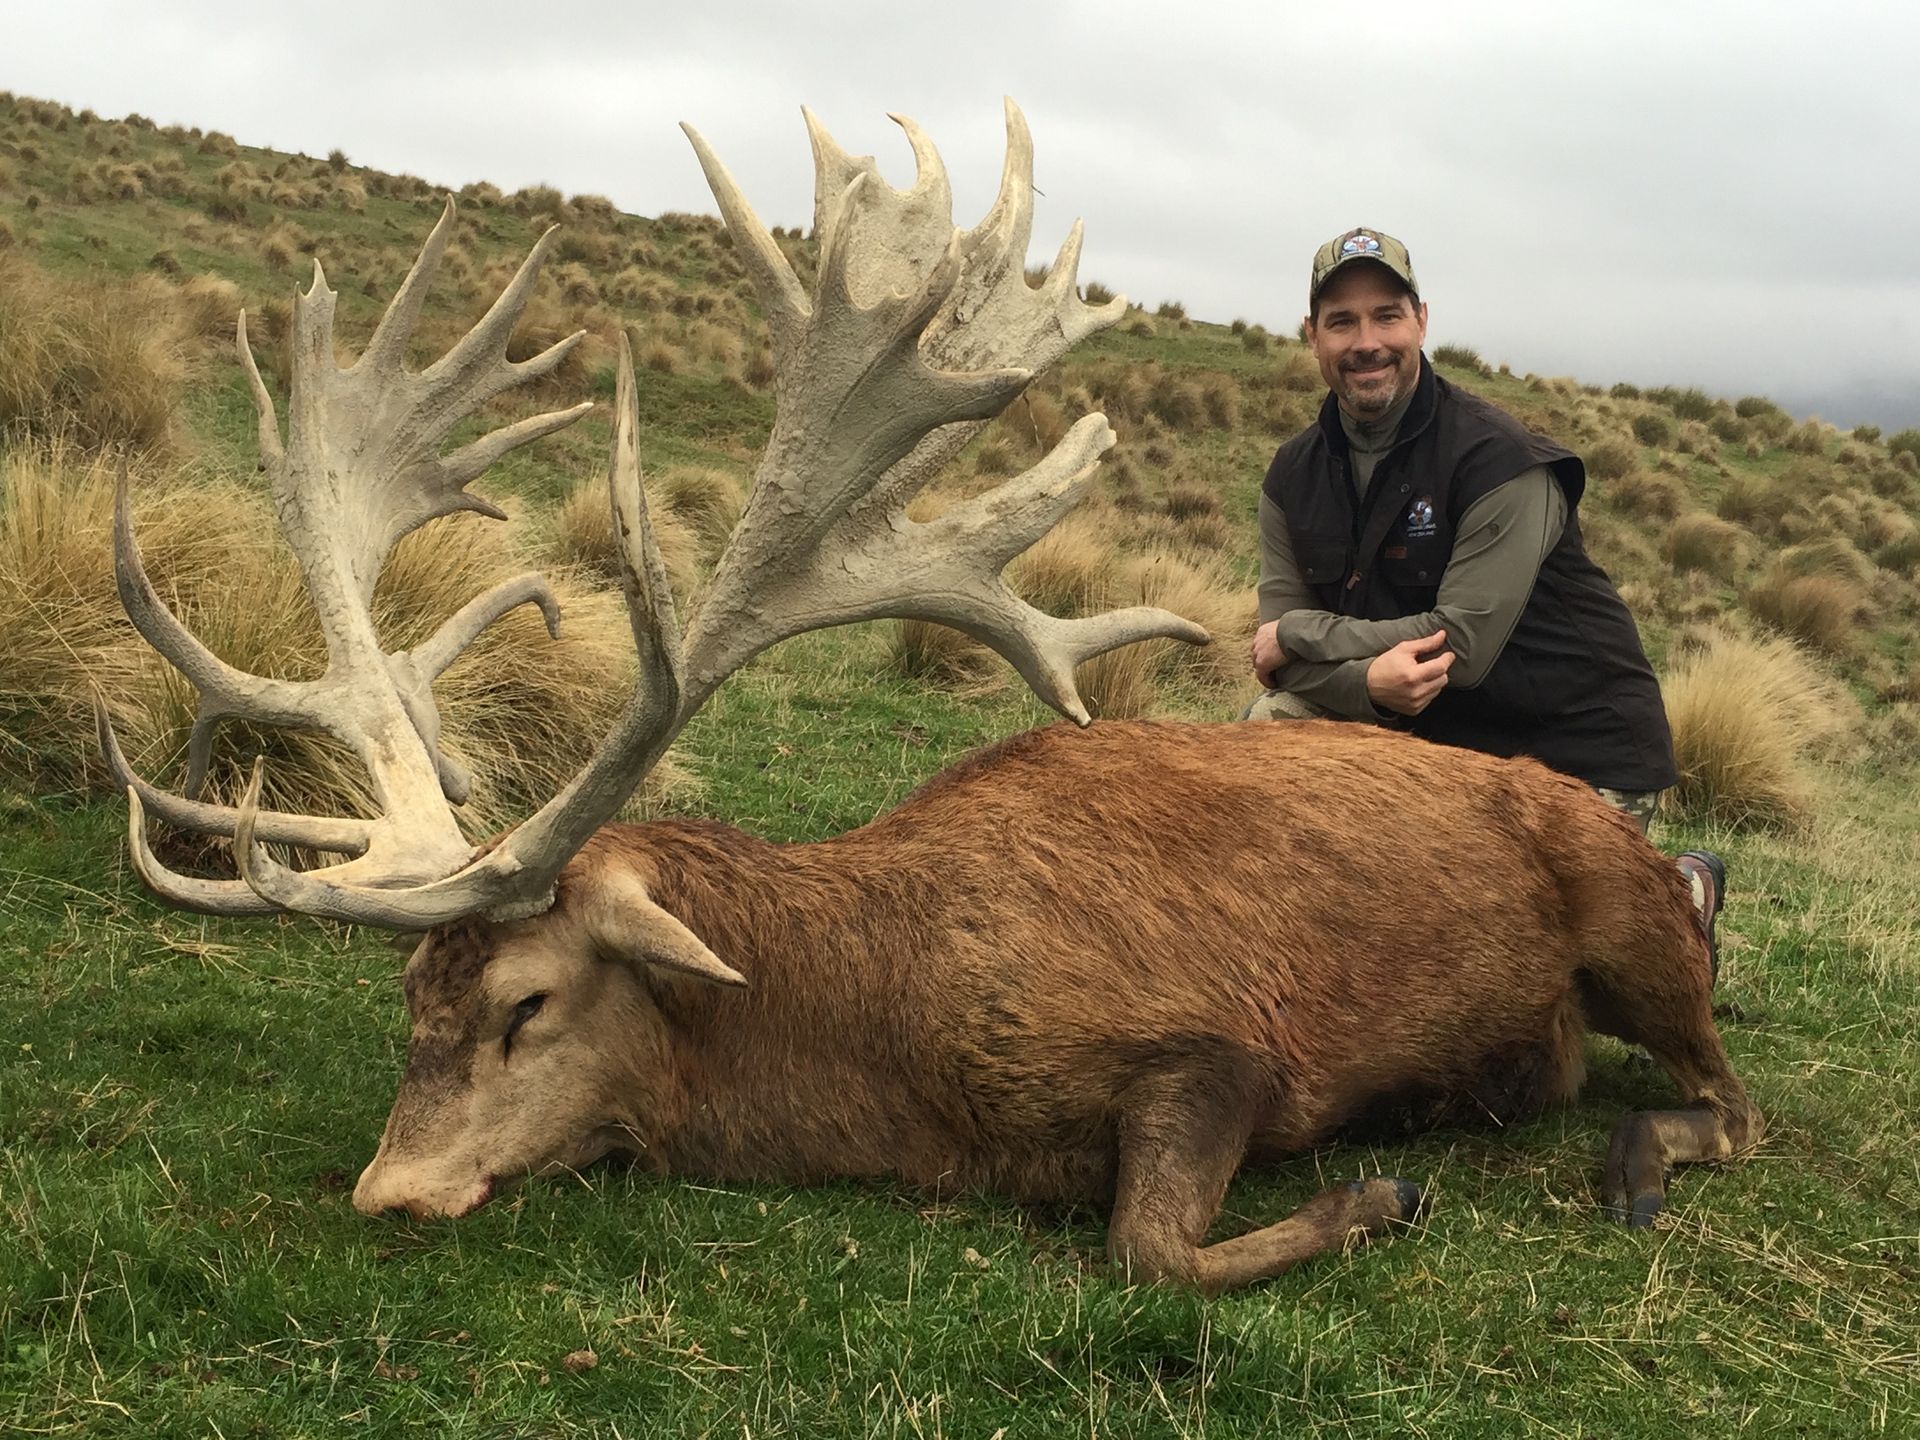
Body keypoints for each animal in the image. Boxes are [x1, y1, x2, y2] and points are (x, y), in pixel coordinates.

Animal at [98, 102, 1761, 1295]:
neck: (885, 1059)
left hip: (1638, 932)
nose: (392, 1190)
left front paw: (1377, 1195)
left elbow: (1149, 1252)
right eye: (410, 1004)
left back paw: (1631, 1156)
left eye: (527, 1002)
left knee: (1733, 1096)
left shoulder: (1223, 1045)